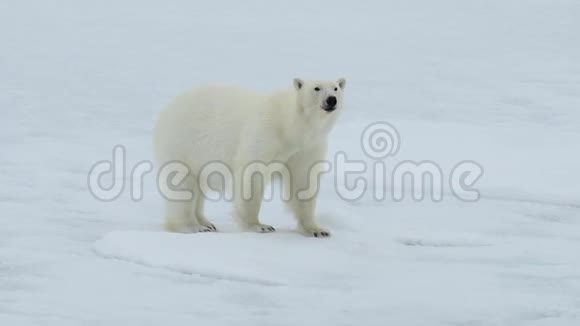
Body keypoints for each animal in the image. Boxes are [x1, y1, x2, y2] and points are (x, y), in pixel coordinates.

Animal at [152, 78, 346, 237]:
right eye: (316, 87)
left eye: (336, 88)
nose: (331, 100)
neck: (290, 126)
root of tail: (168, 109)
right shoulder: (264, 134)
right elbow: (252, 175)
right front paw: (259, 226)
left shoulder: (307, 148)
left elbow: (303, 182)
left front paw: (317, 229)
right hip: (184, 143)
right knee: (183, 185)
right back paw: (191, 226)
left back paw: (206, 223)